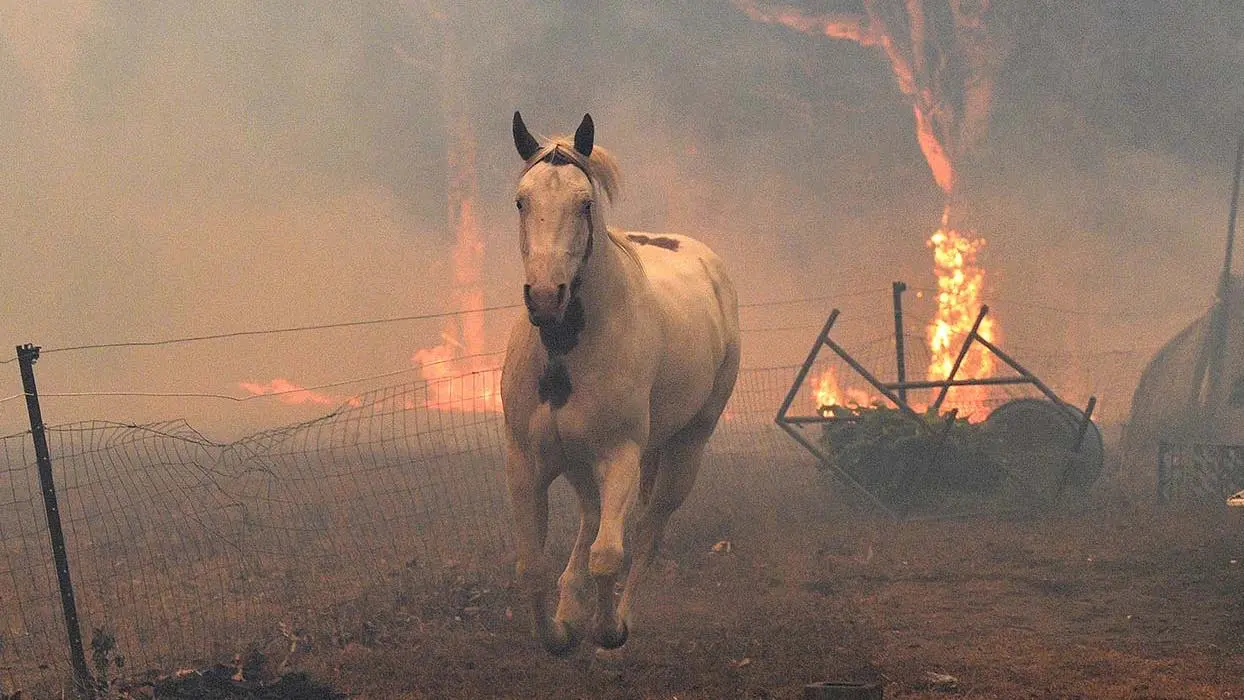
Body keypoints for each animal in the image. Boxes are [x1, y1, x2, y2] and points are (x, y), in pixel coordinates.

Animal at [502, 112, 741, 656]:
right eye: (522, 201)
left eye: (584, 203)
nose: (545, 297)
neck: (565, 352)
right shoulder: (528, 462)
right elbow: (531, 566)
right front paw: (558, 633)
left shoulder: (621, 455)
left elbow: (609, 553)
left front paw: (607, 630)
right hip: (581, 463)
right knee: (592, 518)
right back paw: (571, 605)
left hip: (685, 449)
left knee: (648, 533)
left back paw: (621, 616)